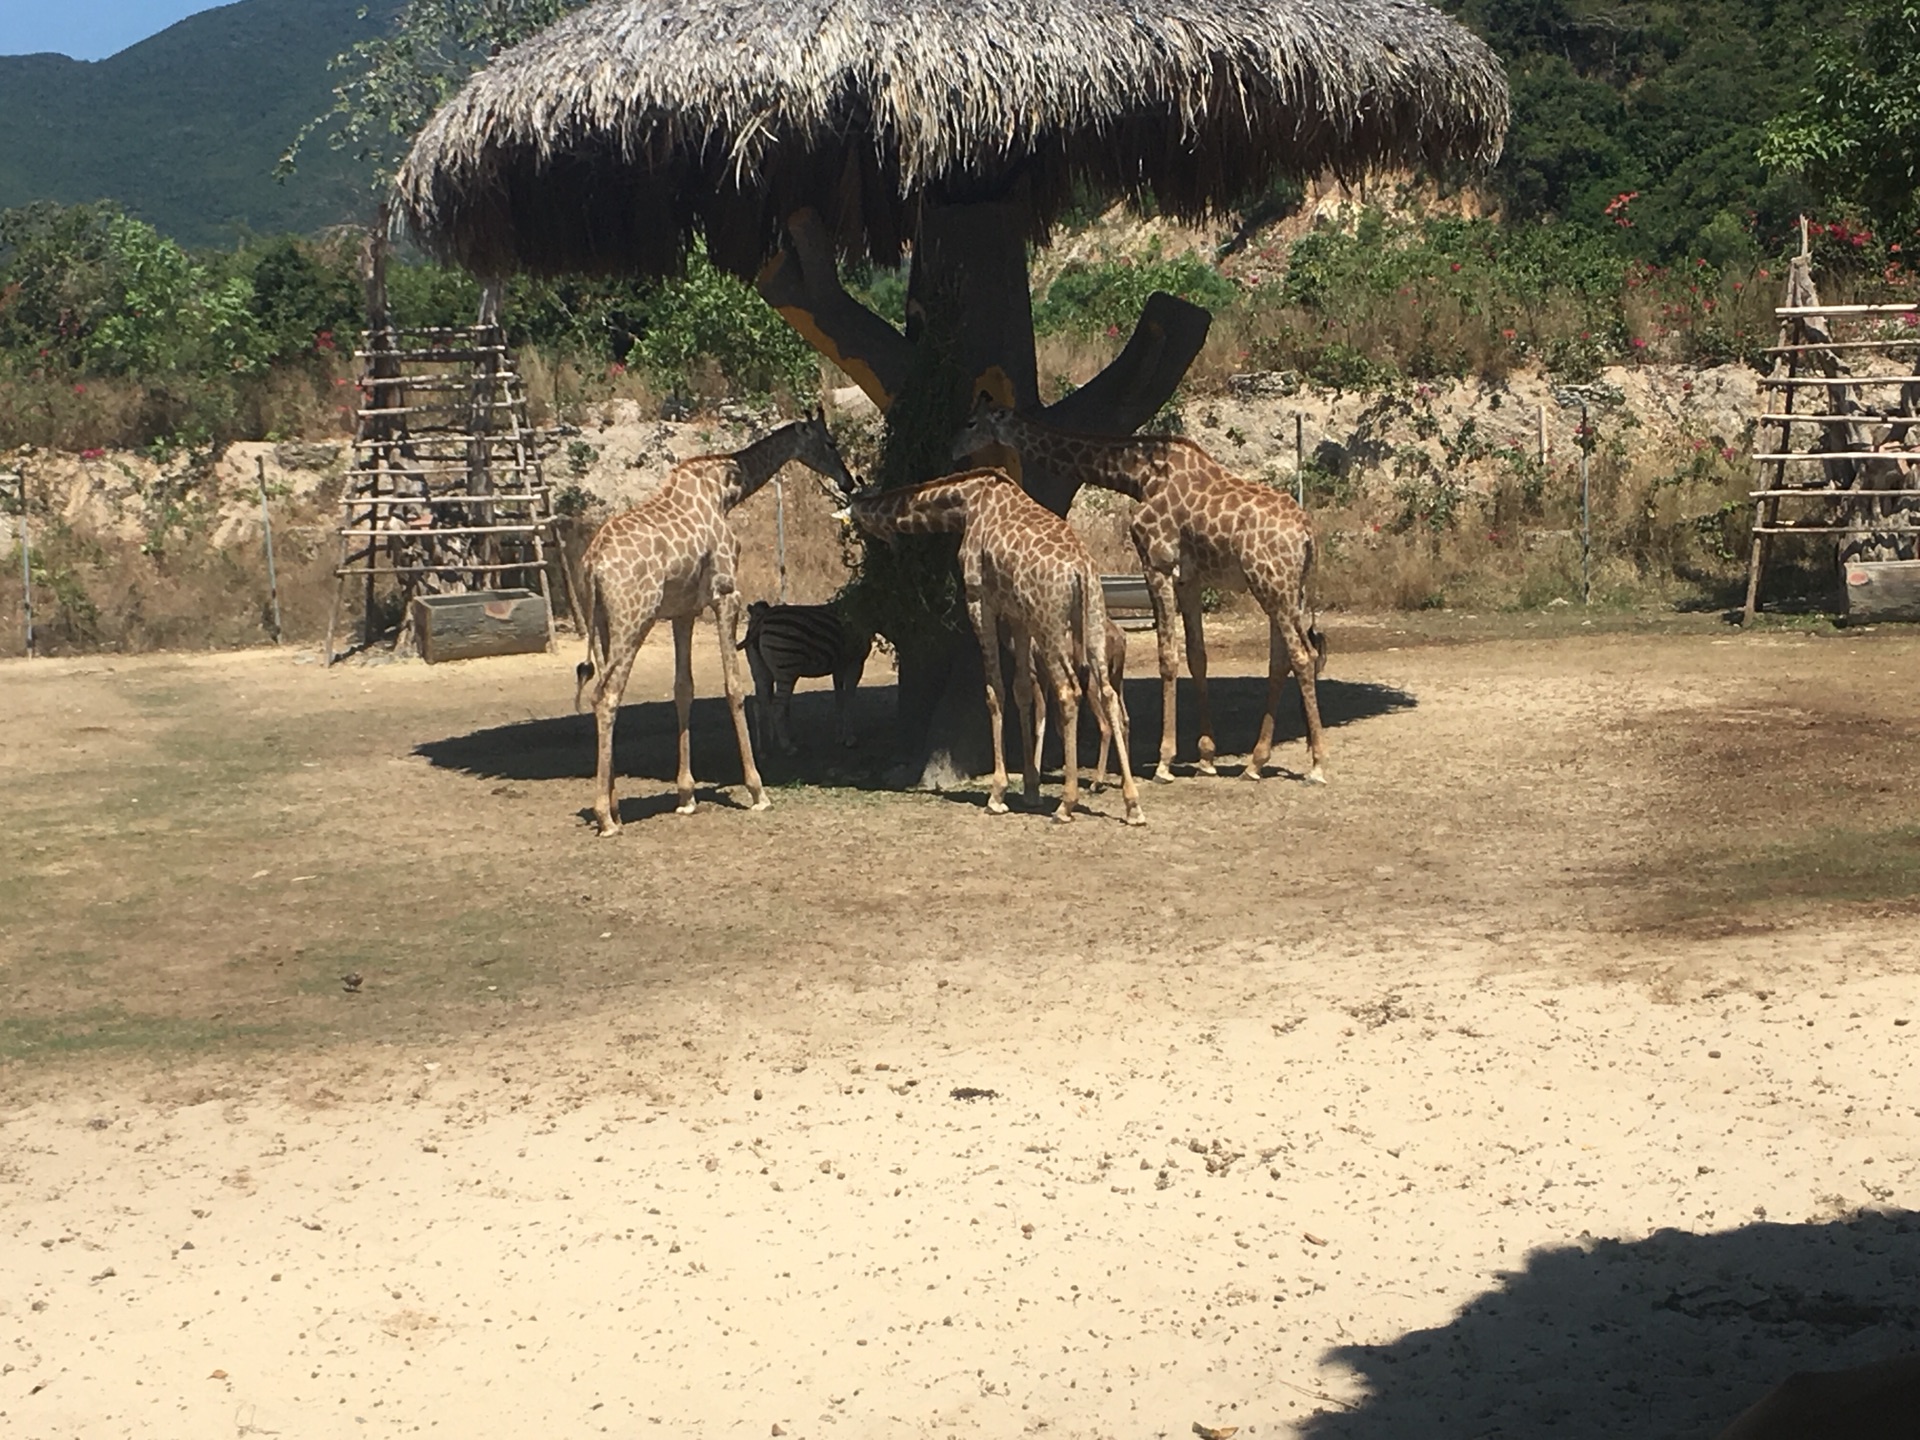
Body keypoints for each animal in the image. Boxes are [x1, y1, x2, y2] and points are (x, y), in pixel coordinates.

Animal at [568, 408, 856, 833]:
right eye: (829, 442)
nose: (849, 481)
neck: (726, 493)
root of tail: (591, 567)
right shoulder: (726, 595)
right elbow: (734, 686)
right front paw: (757, 790)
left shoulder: (684, 611)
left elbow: (683, 688)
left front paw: (687, 796)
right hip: (633, 619)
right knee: (606, 696)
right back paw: (606, 816)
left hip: (603, 625)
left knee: (602, 693)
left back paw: (614, 805)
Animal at [737, 599, 875, 756]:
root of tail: (764, 618)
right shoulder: (855, 663)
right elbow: (849, 699)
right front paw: (850, 739)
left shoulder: (839, 667)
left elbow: (839, 699)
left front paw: (840, 737)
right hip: (786, 671)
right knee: (777, 706)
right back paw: (787, 746)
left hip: (761, 672)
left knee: (759, 704)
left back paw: (763, 749)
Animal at [837, 470, 1136, 829]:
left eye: (865, 521)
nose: (888, 547)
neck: (965, 504)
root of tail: (1081, 571)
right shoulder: (1018, 615)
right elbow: (1021, 691)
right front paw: (1031, 789)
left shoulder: (980, 601)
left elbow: (995, 692)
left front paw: (997, 794)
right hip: (1090, 619)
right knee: (1108, 695)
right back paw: (1132, 805)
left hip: (1049, 622)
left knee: (1068, 692)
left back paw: (1066, 804)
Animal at [952, 407, 1328, 791]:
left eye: (971, 423)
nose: (953, 451)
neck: (1139, 476)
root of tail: (1307, 532)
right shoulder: (1189, 579)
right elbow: (1197, 657)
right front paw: (1206, 757)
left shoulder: (1156, 563)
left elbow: (1167, 658)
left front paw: (1164, 762)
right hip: (1286, 590)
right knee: (1284, 660)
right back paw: (1256, 762)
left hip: (1272, 584)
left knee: (1303, 655)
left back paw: (1317, 765)